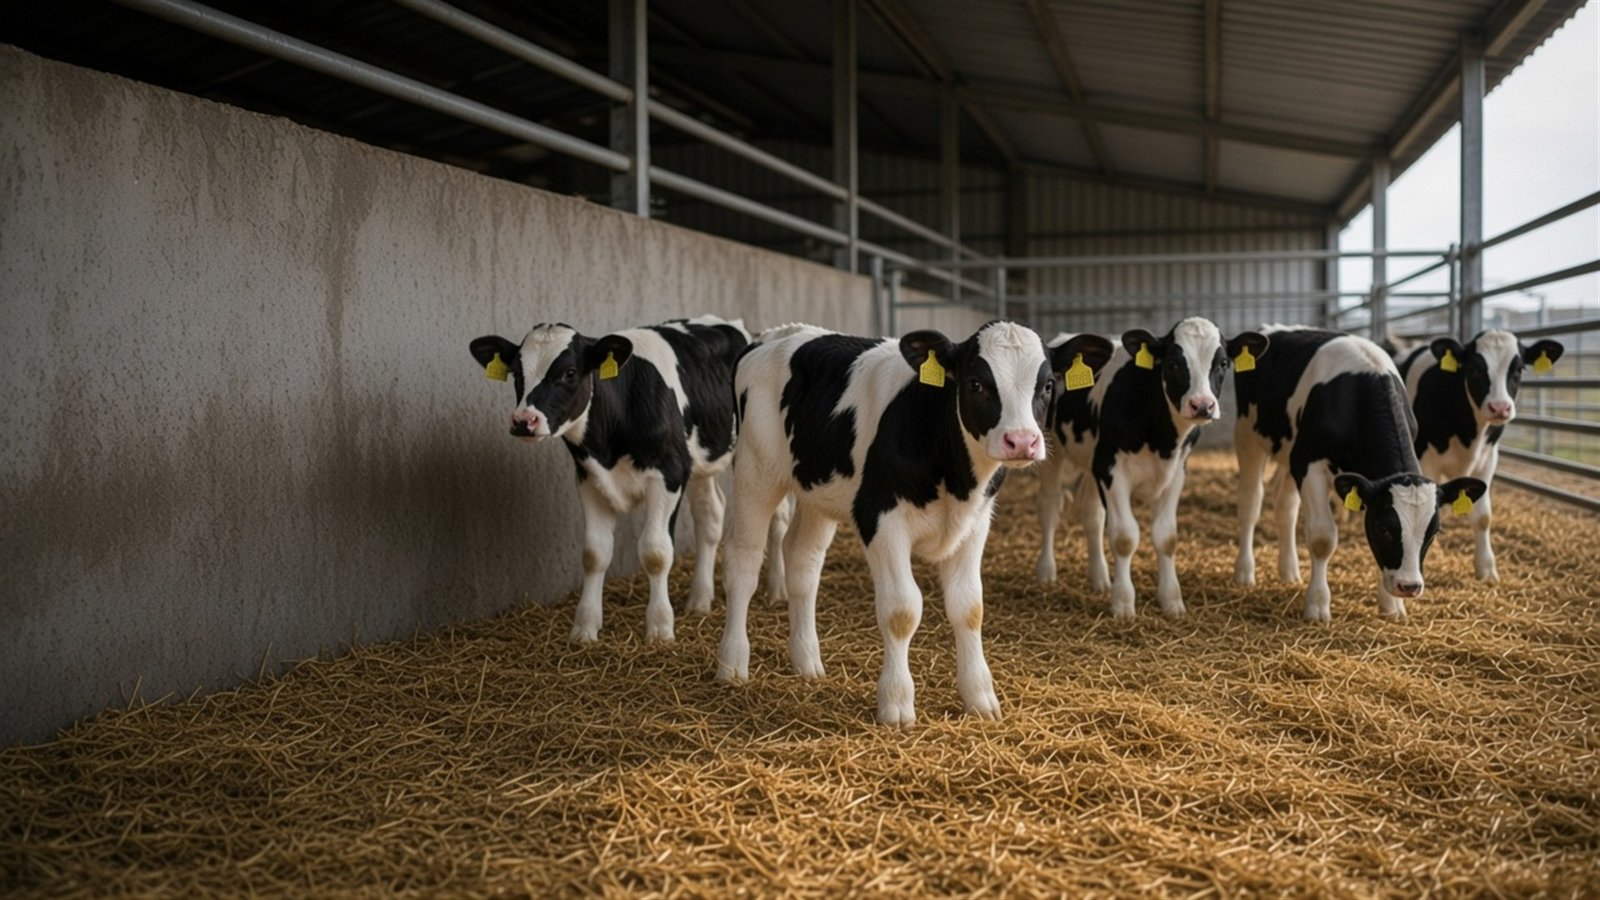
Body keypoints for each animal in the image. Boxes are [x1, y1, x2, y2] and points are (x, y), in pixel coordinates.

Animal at [468, 315, 751, 644]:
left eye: (569, 373)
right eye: (516, 372)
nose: (524, 421)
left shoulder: (668, 475)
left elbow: (656, 552)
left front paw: (659, 629)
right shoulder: (589, 479)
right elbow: (594, 553)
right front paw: (585, 628)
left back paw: (776, 592)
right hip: (701, 463)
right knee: (710, 515)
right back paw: (700, 600)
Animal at [714, 321, 1103, 726]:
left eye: (1047, 385)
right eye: (976, 383)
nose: (1022, 441)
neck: (955, 476)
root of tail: (776, 334)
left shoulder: (975, 523)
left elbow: (970, 607)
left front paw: (980, 698)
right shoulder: (880, 519)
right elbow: (902, 609)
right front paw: (897, 704)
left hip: (816, 489)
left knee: (803, 562)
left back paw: (807, 662)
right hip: (756, 471)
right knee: (743, 561)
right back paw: (732, 664)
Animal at [1035, 318, 1268, 618]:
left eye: (1223, 363)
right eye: (1173, 363)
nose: (1202, 405)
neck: (1162, 439)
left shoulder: (1175, 473)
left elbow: (1166, 537)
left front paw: (1171, 600)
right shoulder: (1113, 471)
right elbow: (1125, 537)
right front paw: (1123, 603)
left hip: (1091, 462)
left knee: (1092, 514)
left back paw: (1099, 579)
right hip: (1052, 450)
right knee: (1050, 507)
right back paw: (1046, 573)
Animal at [1233, 326, 1487, 620]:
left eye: (1433, 532)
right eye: (1385, 528)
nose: (1409, 586)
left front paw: (1392, 606)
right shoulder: (1310, 464)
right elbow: (1322, 537)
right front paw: (1317, 606)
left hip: (1288, 453)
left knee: (1285, 505)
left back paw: (1289, 571)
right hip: (1248, 436)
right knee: (1251, 502)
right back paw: (1244, 573)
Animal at [1397, 330, 1564, 582]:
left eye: (1518, 370)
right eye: (1474, 369)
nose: (1500, 407)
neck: (1469, 434)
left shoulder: (1487, 460)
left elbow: (1483, 517)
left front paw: (1486, 568)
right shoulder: (1426, 460)